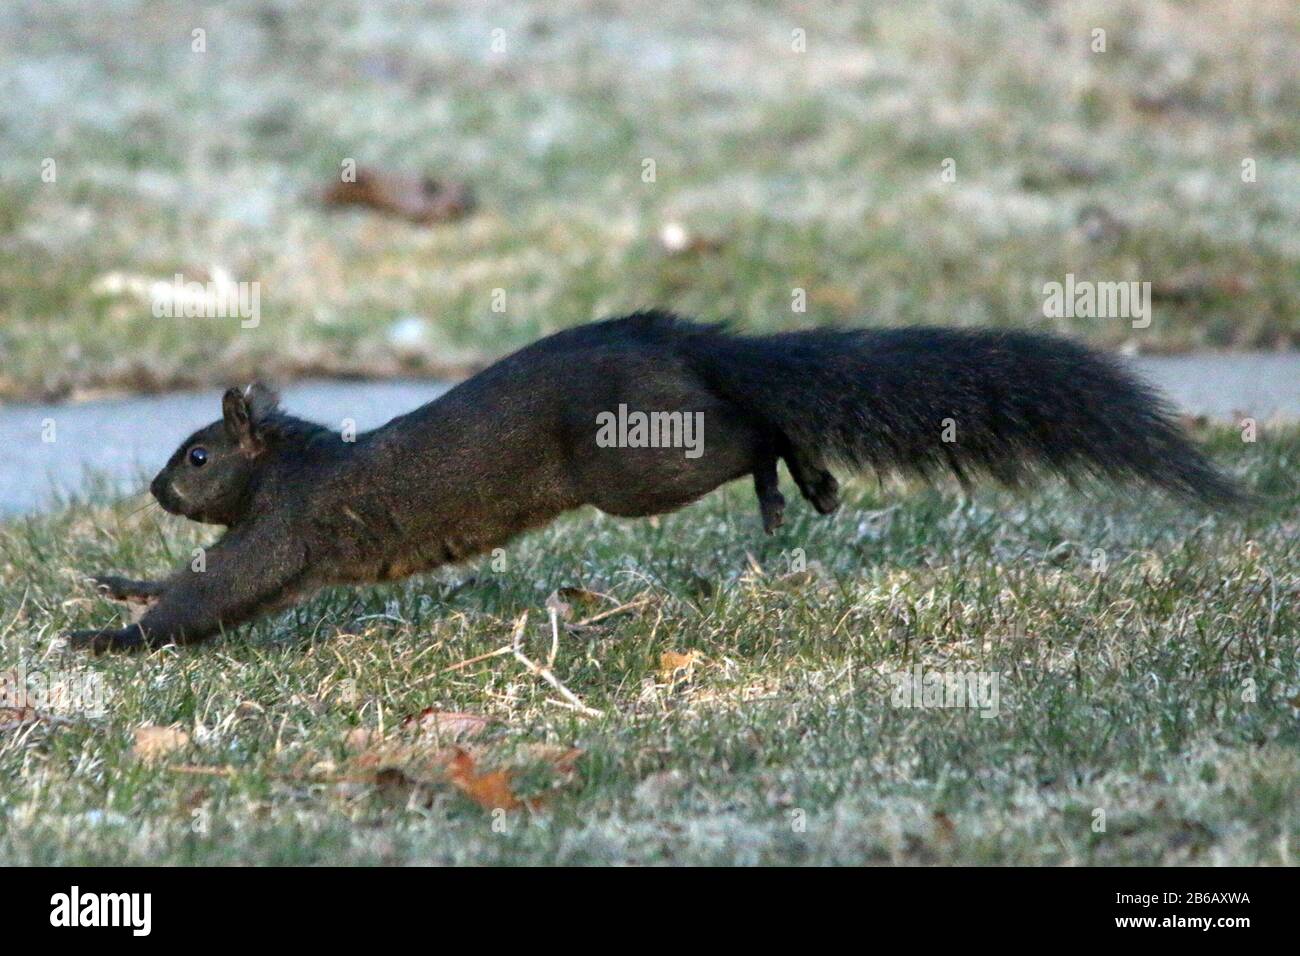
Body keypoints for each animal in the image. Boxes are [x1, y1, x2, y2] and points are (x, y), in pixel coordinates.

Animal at [68, 310, 1237, 655]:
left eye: (197, 456)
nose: (158, 491)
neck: (291, 462)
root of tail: (682, 340)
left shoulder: (287, 528)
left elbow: (219, 589)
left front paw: (108, 638)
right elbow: (197, 578)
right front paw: (117, 583)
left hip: (636, 464)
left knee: (750, 423)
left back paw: (797, 472)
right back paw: (793, 485)